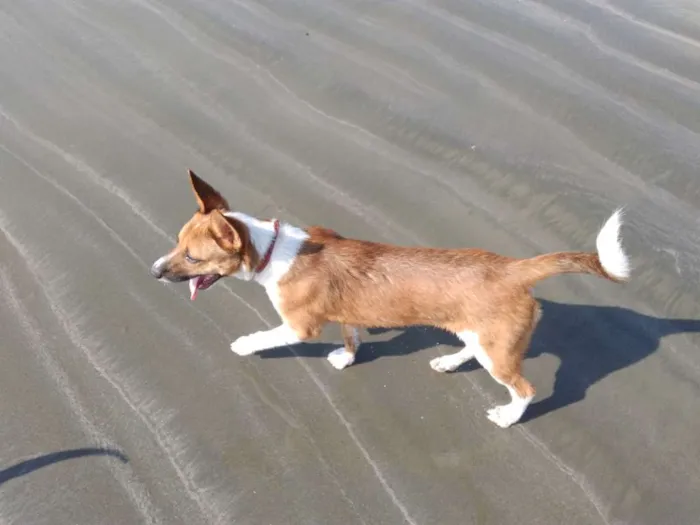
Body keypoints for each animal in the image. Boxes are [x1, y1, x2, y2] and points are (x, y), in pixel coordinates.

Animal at [150, 171, 632, 426]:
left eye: (192, 258)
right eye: (176, 243)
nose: (153, 271)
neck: (272, 249)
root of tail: (514, 266)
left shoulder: (300, 326)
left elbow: (266, 337)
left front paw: (245, 345)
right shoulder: (346, 312)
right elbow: (351, 336)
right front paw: (346, 358)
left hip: (500, 350)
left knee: (524, 388)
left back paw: (509, 416)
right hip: (484, 335)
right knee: (472, 349)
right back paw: (449, 361)